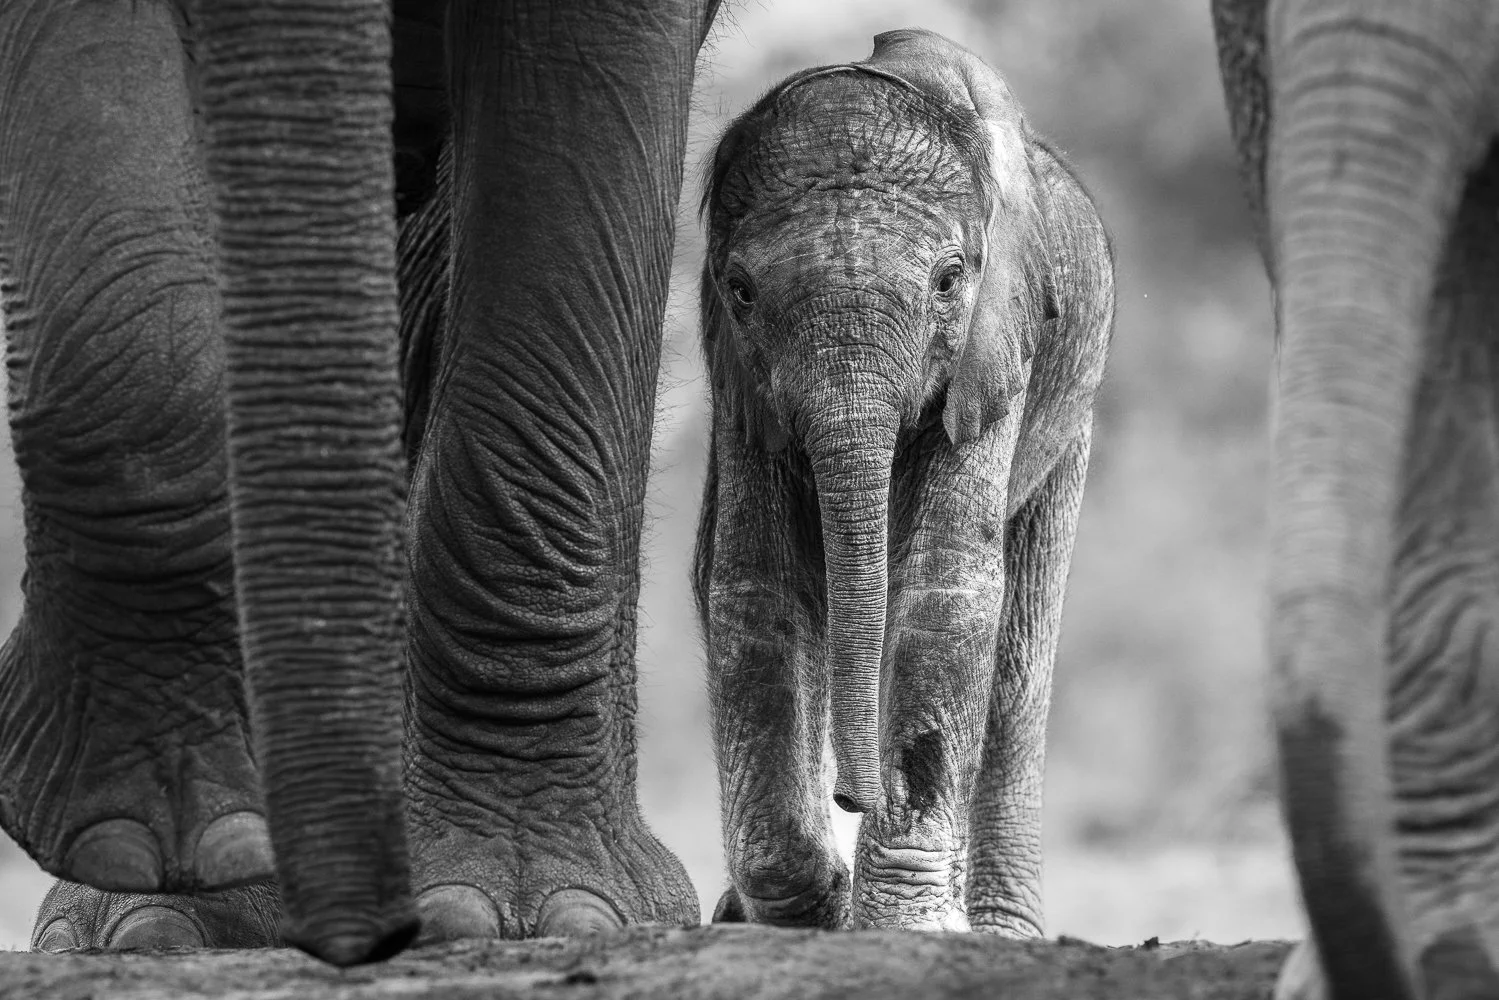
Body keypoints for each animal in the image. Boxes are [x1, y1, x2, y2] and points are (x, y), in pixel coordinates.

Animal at [694, 28, 1114, 933]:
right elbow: (755, 584)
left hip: (1077, 403)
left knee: (1017, 657)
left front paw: (905, 926)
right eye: (739, 292)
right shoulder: (735, 379)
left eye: (949, 281)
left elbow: (947, 586)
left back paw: (994, 928)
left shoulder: (1000, 343)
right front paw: (801, 908)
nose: (855, 796)